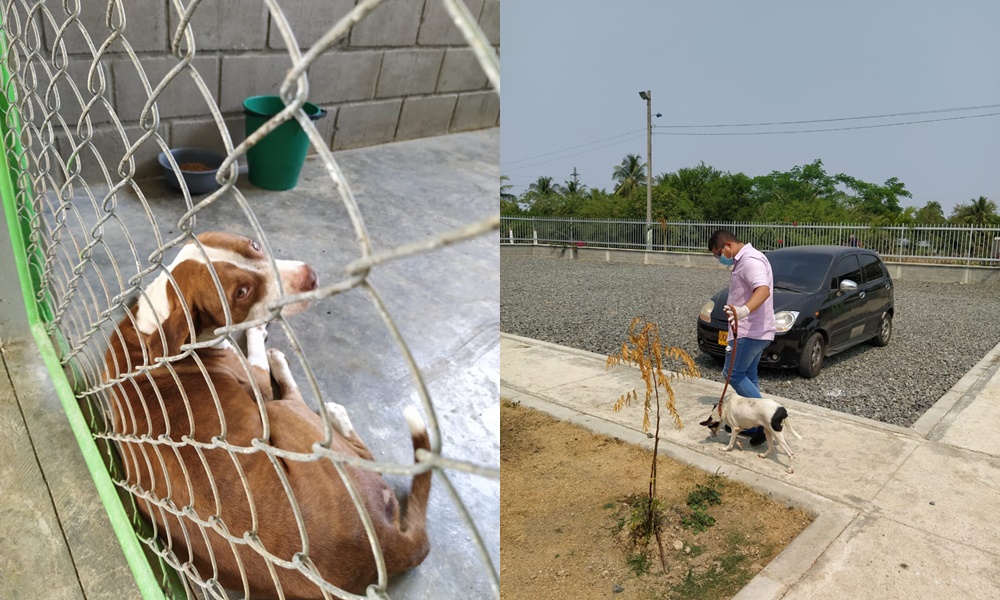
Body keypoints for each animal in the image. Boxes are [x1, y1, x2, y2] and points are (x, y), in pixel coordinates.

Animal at [103, 233, 432, 600]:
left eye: (254, 245)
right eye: (241, 293)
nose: (310, 277)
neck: (157, 326)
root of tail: (387, 545)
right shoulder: (256, 381)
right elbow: (258, 357)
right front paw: (258, 333)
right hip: (282, 415)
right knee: (349, 441)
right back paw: (328, 406)